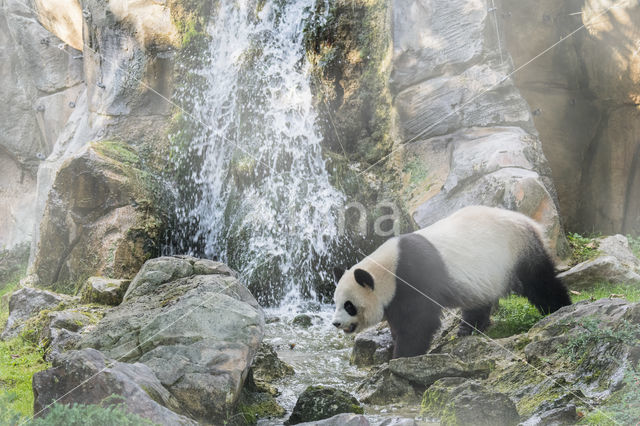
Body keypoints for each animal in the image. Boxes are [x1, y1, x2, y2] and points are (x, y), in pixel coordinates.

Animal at [330, 205, 568, 358]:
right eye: (336, 303)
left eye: (349, 305)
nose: (336, 323)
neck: (387, 269)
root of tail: (531, 222)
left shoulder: (413, 276)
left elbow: (419, 322)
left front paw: (402, 355)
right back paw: (468, 328)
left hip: (516, 250)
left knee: (539, 282)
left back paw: (558, 307)